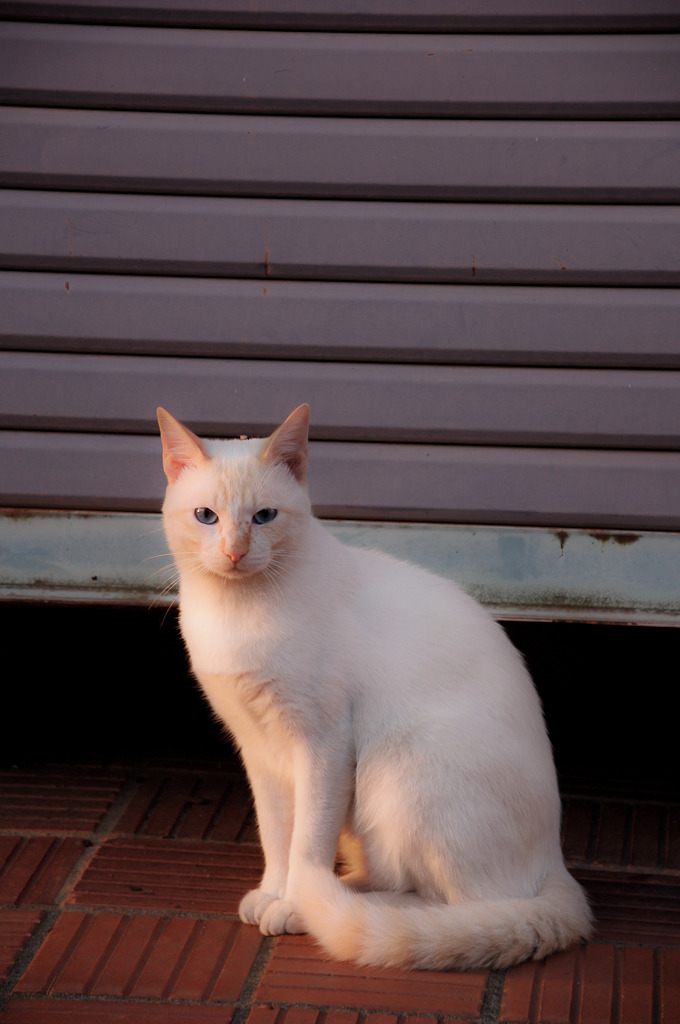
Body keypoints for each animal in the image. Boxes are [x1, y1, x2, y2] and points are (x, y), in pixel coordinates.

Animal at [157, 403, 589, 970]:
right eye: (206, 516)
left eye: (264, 517)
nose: (234, 552)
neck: (236, 615)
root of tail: (556, 865)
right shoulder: (258, 749)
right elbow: (277, 837)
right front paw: (273, 891)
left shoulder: (323, 745)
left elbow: (306, 842)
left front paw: (290, 903)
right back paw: (342, 889)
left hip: (397, 770)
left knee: (455, 905)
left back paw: (332, 907)